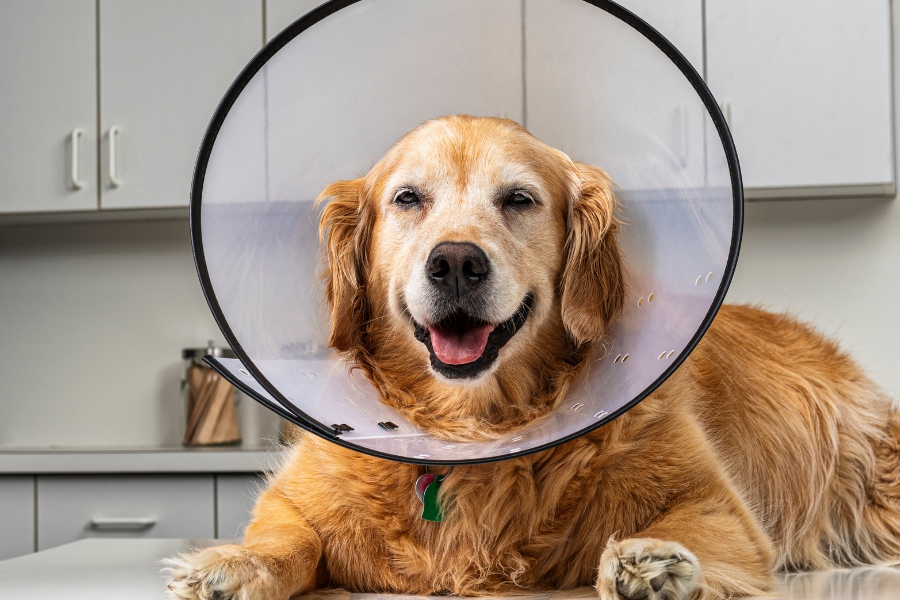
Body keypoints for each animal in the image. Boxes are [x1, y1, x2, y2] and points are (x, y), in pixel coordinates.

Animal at [167, 116, 900, 600]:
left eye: (518, 199)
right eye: (408, 198)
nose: (456, 262)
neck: (473, 435)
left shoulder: (721, 506)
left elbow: (689, 523)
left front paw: (654, 562)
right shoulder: (293, 500)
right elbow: (287, 539)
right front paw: (229, 566)